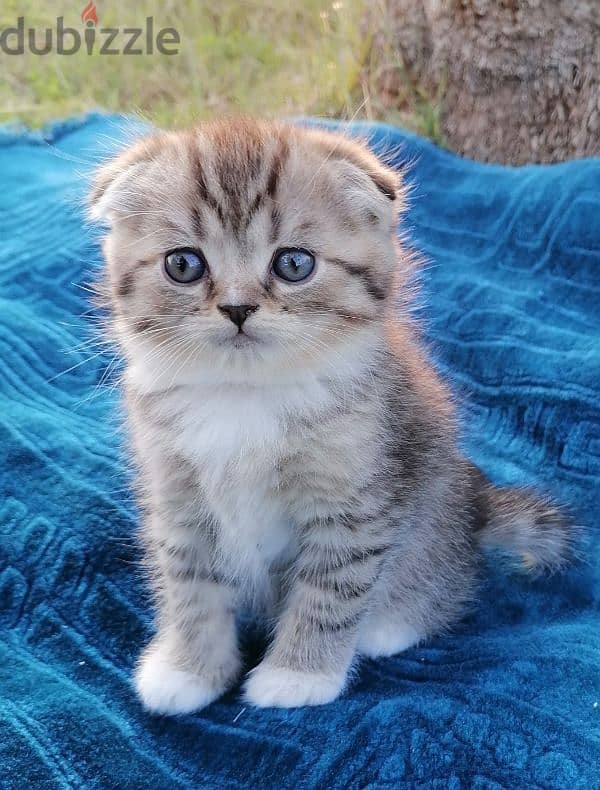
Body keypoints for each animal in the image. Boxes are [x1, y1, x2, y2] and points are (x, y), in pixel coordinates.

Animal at [86, 119, 568, 716]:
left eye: (294, 264)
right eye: (183, 265)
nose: (238, 308)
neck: (245, 397)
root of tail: (476, 511)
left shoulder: (357, 501)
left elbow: (332, 591)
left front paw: (298, 675)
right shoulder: (176, 497)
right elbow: (189, 587)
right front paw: (189, 669)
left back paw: (393, 625)